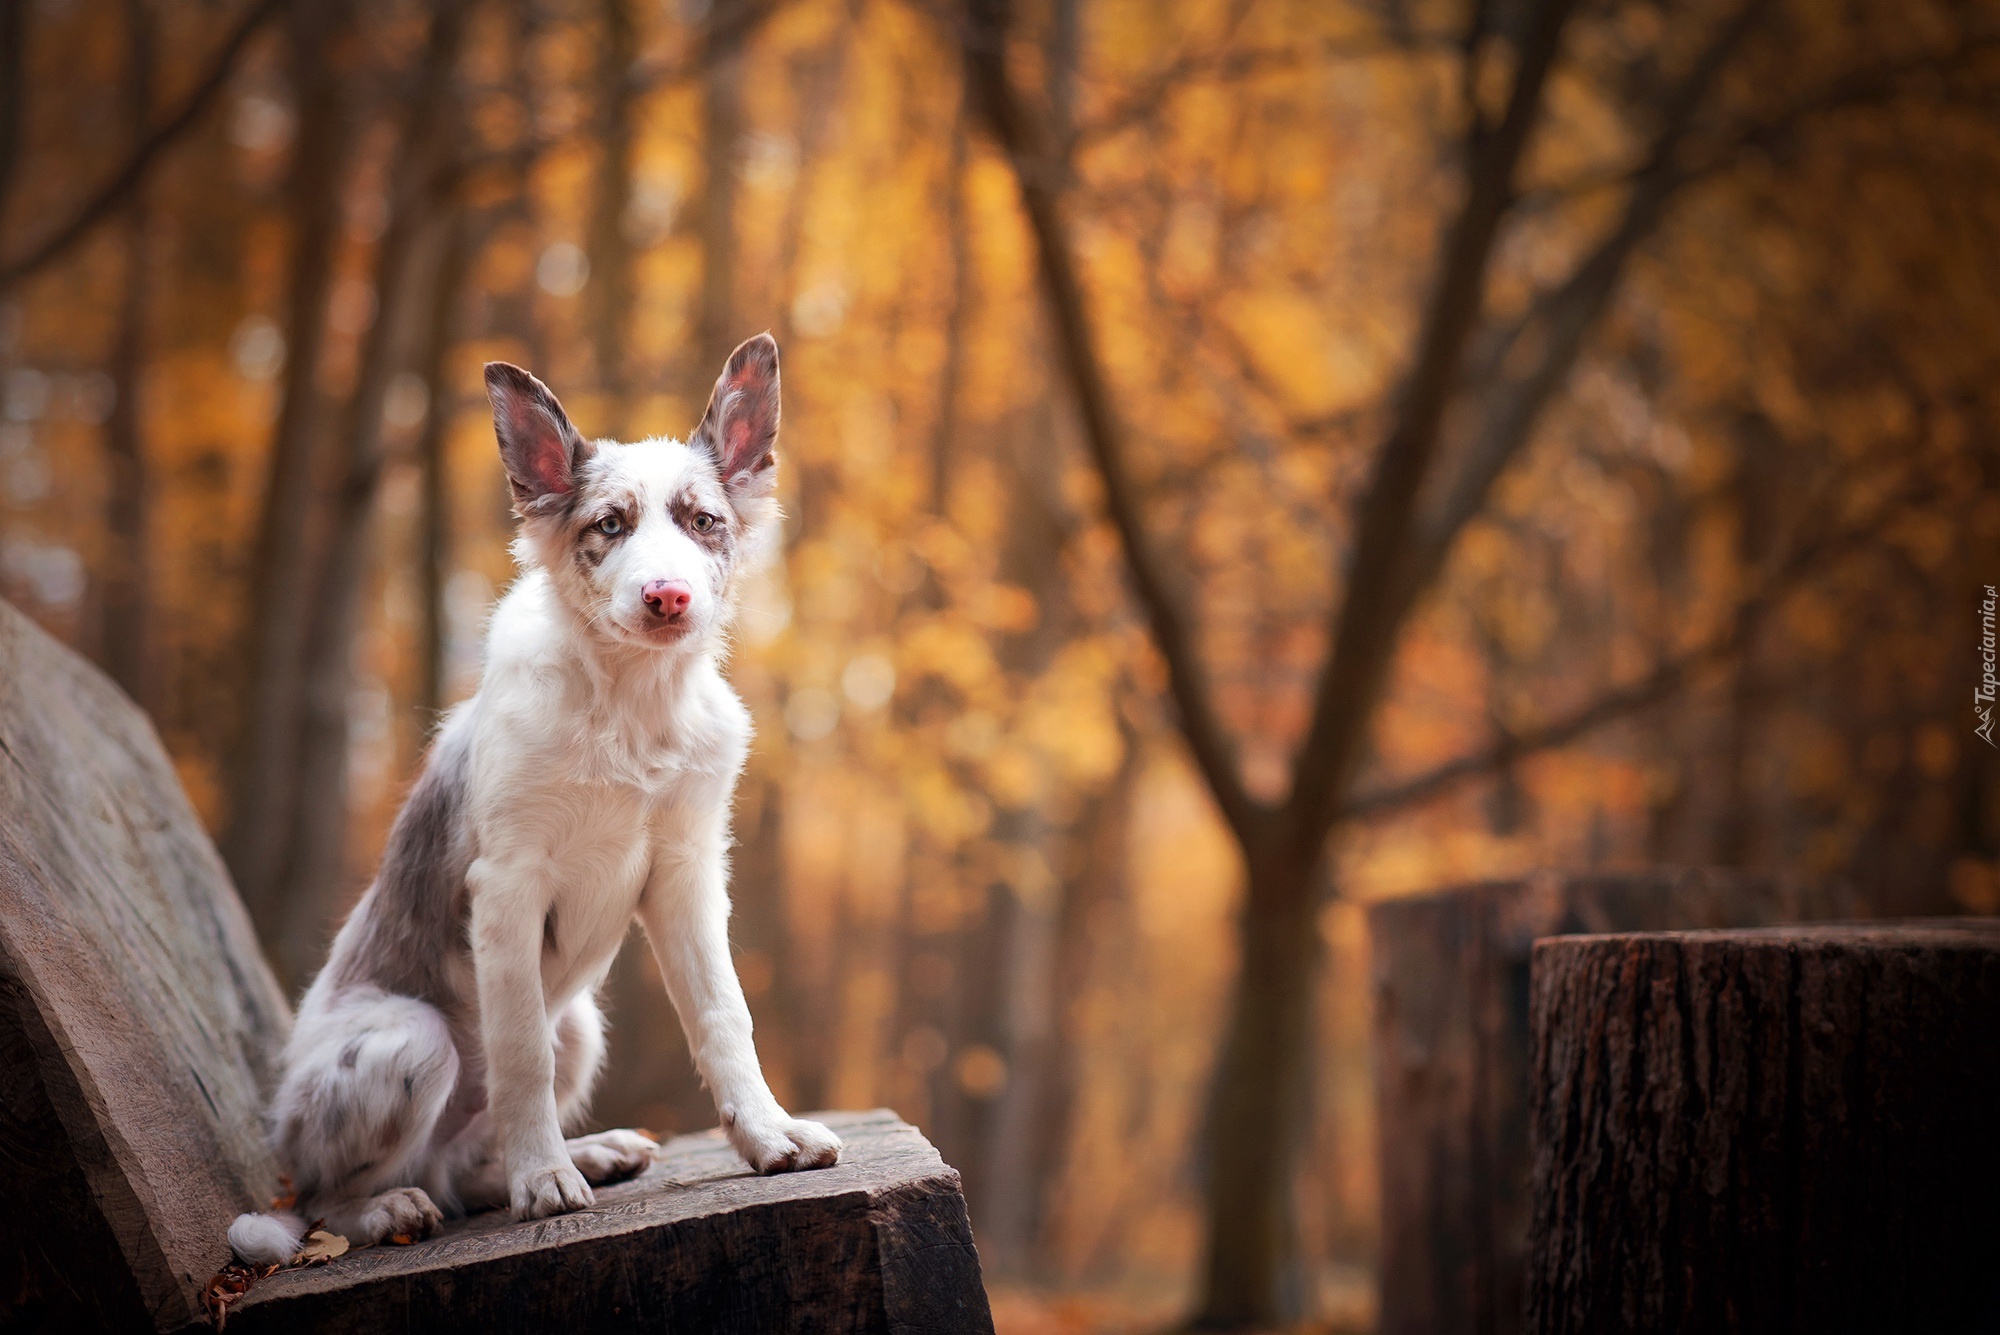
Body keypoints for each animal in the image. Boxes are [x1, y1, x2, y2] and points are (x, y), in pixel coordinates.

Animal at [230, 331, 840, 1263]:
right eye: (608, 526)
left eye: (703, 521)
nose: (668, 596)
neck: (630, 702)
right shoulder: (508, 884)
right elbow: (520, 1053)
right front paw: (544, 1180)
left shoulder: (687, 871)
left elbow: (722, 1015)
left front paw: (769, 1135)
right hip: (410, 1041)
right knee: (338, 1201)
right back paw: (394, 1206)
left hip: (583, 1019)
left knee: (465, 1169)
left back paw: (585, 1154)